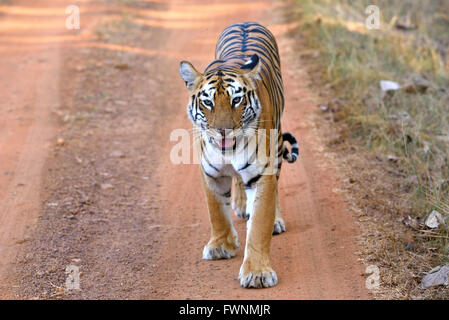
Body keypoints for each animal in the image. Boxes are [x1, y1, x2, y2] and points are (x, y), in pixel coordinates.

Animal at [178, 21, 298, 288]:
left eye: (236, 100)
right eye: (208, 103)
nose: (224, 130)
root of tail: (245, 22)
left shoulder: (262, 174)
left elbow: (259, 226)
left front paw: (258, 273)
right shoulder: (211, 173)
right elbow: (216, 212)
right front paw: (221, 245)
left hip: (276, 147)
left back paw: (275, 220)